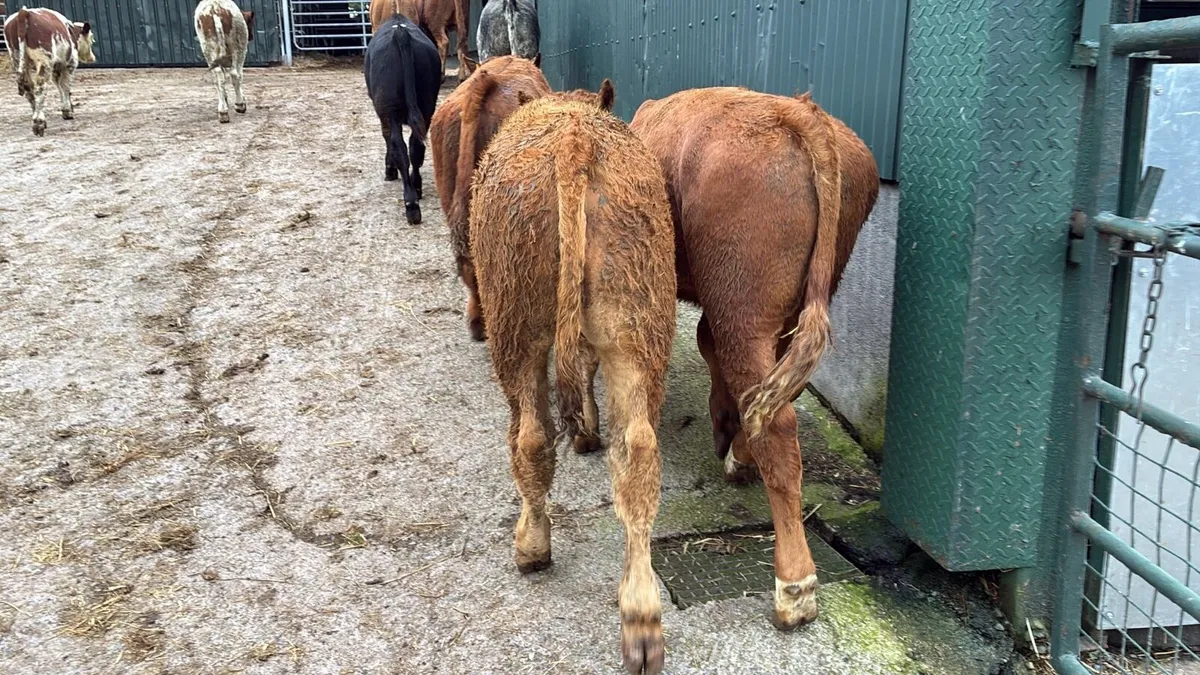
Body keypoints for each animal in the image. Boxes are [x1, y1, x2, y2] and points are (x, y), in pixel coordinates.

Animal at [3, 7, 95, 136]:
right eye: (91, 38)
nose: (92, 58)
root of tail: (23, 12)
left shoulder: (56, 68)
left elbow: (59, 87)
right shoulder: (69, 65)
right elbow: (65, 86)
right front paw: (67, 111)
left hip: (16, 59)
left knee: (29, 88)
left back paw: (38, 118)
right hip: (44, 61)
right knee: (40, 88)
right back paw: (39, 123)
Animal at [365, 14, 441, 225]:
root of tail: (400, 32)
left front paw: (389, 169)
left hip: (389, 109)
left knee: (399, 146)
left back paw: (411, 204)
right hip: (427, 105)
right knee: (416, 146)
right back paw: (417, 187)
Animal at [469, 86, 675, 675]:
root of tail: (574, 136)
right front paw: (587, 429)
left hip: (515, 326)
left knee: (531, 438)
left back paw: (532, 546)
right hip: (636, 326)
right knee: (637, 455)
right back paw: (641, 615)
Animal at [630, 87, 879, 631]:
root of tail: (796, 111)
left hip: (742, 305)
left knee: (778, 425)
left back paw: (794, 586)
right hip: (790, 305)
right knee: (774, 392)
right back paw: (741, 453)